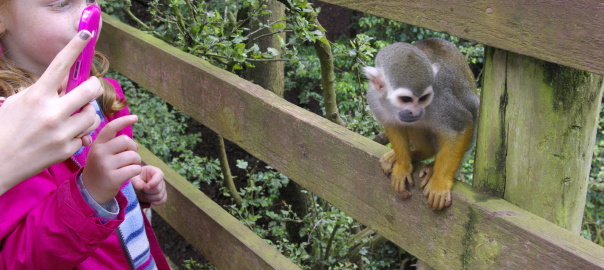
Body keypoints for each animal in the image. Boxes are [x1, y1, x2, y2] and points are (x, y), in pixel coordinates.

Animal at [366, 38, 478, 211]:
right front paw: (403, 165)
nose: (416, 112)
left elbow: (461, 125)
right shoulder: (374, 97)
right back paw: (419, 152)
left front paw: (439, 183)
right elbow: (392, 124)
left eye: (424, 98)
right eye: (406, 99)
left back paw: (431, 165)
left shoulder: (440, 100)